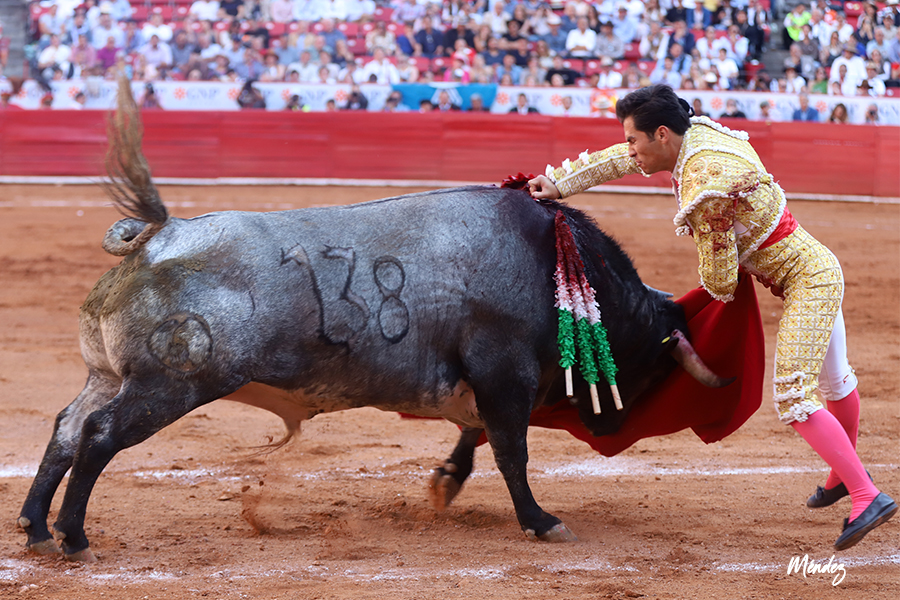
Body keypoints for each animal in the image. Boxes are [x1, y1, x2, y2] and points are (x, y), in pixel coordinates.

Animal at [17, 79, 729, 562]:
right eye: (651, 360)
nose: (609, 427)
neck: (550, 259)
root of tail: (158, 234)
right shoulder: (504, 374)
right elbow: (511, 450)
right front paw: (540, 521)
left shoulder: (480, 381)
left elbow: (475, 437)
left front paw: (445, 486)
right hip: (168, 386)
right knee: (99, 436)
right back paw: (74, 537)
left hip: (107, 375)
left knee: (65, 430)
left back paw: (33, 528)